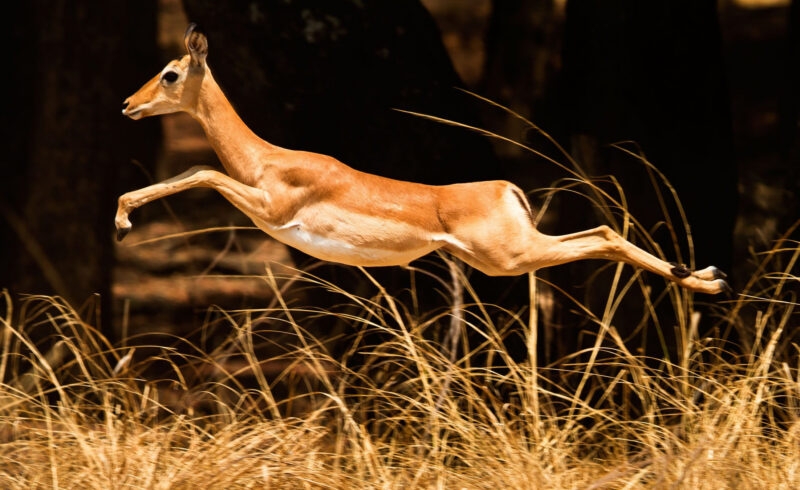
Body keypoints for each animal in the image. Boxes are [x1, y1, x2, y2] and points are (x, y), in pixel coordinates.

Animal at [117, 23, 730, 295]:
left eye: (170, 73)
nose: (128, 104)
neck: (267, 160)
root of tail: (505, 188)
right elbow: (192, 171)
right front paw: (122, 217)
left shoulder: (268, 208)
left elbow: (201, 170)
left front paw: (122, 221)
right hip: (508, 254)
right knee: (600, 232)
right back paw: (707, 275)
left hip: (510, 257)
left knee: (603, 235)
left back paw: (708, 280)